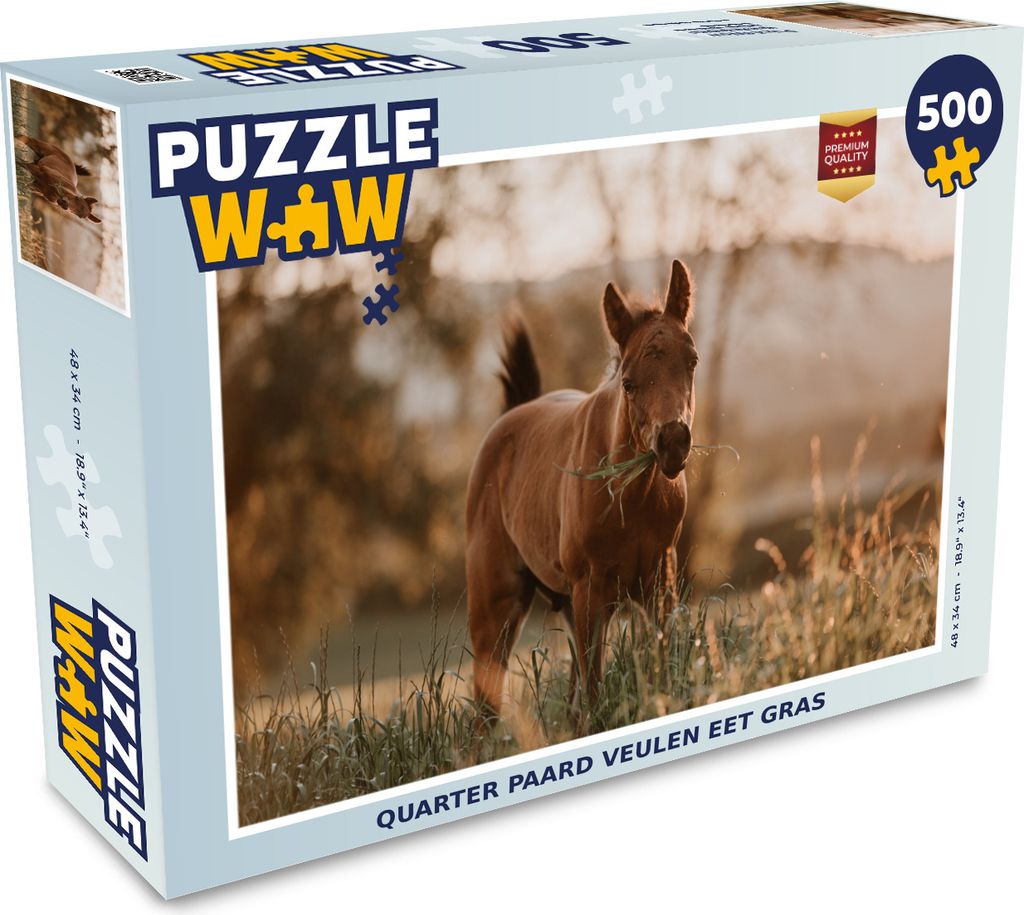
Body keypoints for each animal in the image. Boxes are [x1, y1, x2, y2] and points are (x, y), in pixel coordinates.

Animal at [465, 259, 698, 727]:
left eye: (693, 361)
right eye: (628, 382)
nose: (673, 442)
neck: (632, 499)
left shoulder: (658, 584)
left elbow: (660, 670)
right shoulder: (592, 590)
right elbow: (596, 692)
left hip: (570, 605)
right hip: (496, 609)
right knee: (486, 709)